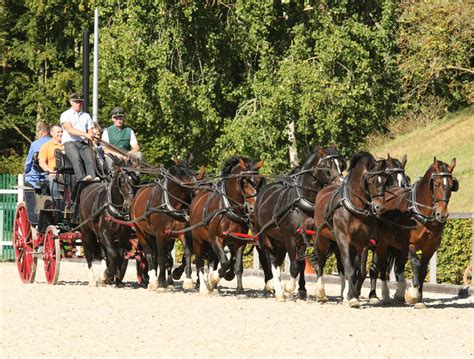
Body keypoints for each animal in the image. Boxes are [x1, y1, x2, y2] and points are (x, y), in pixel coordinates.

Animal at [130, 160, 204, 292]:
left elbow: (187, 252)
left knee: (155, 254)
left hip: (153, 234)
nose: (196, 191)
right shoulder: (161, 233)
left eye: (193, 173)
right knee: (149, 252)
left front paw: (188, 280)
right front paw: (161, 283)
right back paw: (153, 280)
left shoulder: (182, 232)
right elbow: (162, 257)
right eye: (183, 175)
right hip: (140, 231)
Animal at [188, 158, 262, 296]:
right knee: (200, 262)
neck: (228, 208)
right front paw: (212, 281)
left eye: (259, 181)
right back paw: (203, 287)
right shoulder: (215, 239)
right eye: (244, 181)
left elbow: (238, 266)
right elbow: (225, 263)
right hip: (198, 240)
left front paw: (239, 288)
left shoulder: (240, 242)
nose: (252, 208)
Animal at [254, 146, 346, 300]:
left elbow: (305, 263)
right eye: (327, 167)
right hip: (266, 236)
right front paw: (289, 287)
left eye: (341, 164)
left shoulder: (307, 237)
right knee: (271, 259)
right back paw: (277, 290)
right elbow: (294, 266)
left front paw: (308, 290)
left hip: (281, 240)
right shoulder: (291, 238)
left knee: (278, 260)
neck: (302, 200)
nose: (339, 184)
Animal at [312, 150, 386, 308]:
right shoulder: (343, 239)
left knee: (342, 266)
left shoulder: (362, 243)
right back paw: (320, 293)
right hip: (323, 239)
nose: (379, 207)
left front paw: (354, 294)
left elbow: (361, 271)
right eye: (371, 181)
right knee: (320, 262)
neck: (354, 206)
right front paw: (352, 298)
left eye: (385, 180)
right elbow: (350, 270)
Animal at [368, 158, 458, 306]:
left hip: (397, 247)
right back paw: (380, 295)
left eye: (451, 186)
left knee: (398, 266)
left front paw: (419, 299)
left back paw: (398, 294)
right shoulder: (409, 243)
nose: (442, 214)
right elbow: (416, 263)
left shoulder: (430, 247)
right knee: (382, 266)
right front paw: (413, 293)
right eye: (436, 184)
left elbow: (423, 269)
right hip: (383, 244)